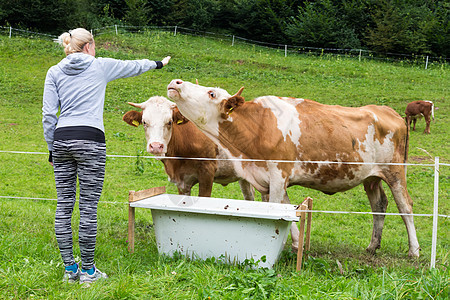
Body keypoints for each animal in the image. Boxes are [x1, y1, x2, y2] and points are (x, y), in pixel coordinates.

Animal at [168, 79, 422, 258]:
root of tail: (388, 110)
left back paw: (414, 251)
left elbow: (275, 209)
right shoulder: (266, 180)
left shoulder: (279, 173)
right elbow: (284, 210)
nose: (176, 82)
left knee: (405, 207)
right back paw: (372, 246)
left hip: (395, 171)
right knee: (379, 205)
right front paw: (296, 244)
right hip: (371, 176)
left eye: (211, 93)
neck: (257, 128)